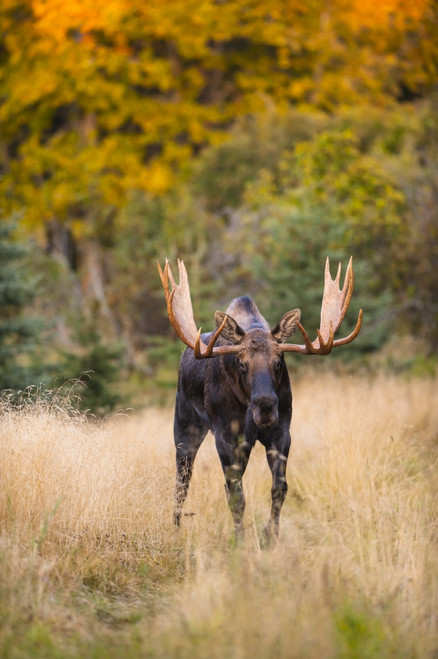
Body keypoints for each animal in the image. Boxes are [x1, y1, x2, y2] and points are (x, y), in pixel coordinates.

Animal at [157, 258, 362, 546]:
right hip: (185, 426)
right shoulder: (226, 436)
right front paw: (241, 541)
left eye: (278, 362)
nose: (265, 406)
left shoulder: (281, 431)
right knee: (181, 482)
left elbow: (279, 488)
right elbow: (236, 496)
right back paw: (176, 529)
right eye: (242, 363)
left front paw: (270, 535)